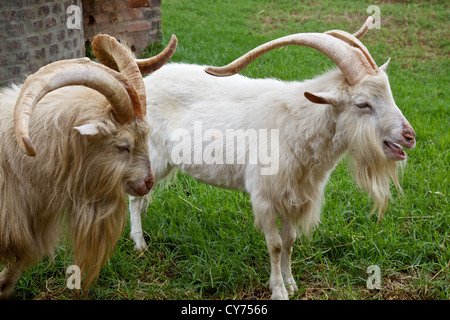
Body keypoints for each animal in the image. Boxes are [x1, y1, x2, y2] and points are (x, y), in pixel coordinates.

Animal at [125, 18, 414, 300]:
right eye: (362, 104)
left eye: (389, 94)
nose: (409, 136)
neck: (297, 122)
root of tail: (146, 84)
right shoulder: (264, 196)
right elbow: (274, 245)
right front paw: (278, 291)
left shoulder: (293, 195)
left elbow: (289, 240)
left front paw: (291, 283)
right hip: (153, 157)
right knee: (134, 197)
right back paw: (139, 244)